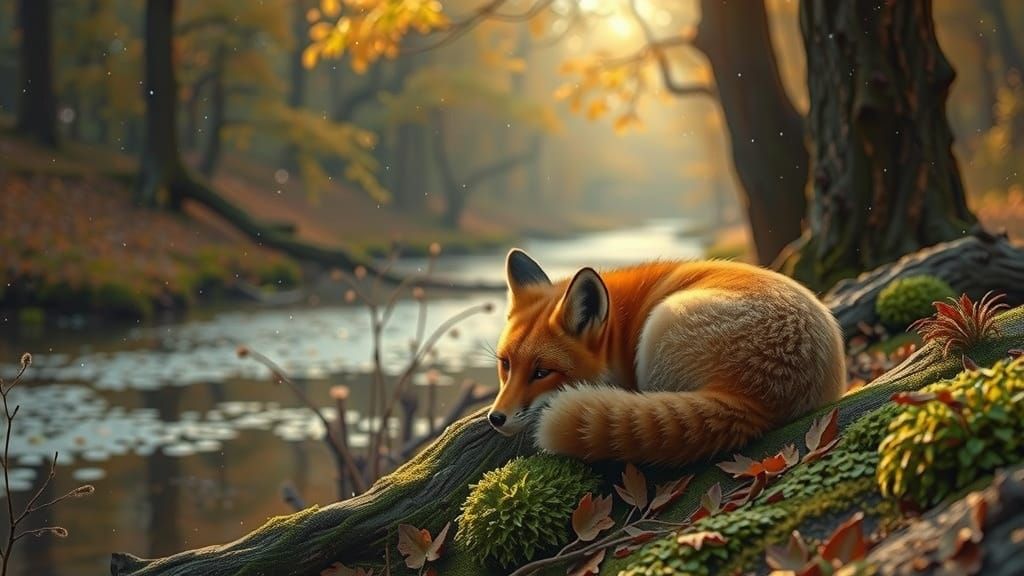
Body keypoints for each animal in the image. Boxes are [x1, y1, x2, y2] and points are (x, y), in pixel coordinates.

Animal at [487, 249, 846, 466]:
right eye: (505, 365)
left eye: (541, 372)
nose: (495, 418)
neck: (621, 327)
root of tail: (756, 397)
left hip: (658, 327)